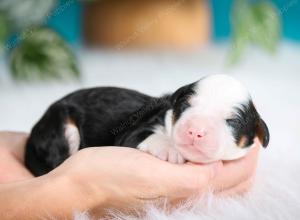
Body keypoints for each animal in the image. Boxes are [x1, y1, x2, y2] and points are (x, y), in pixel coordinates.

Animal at [25, 75, 270, 176]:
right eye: (186, 106)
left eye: (233, 121)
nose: (195, 131)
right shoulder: (129, 133)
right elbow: (147, 136)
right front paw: (170, 148)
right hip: (61, 124)